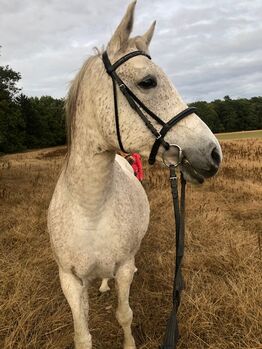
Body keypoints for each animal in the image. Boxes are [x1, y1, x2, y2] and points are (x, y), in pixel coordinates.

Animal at [47, 1, 221, 346]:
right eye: (148, 81)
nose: (213, 152)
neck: (90, 209)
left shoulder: (124, 268)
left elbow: (124, 314)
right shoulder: (69, 281)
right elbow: (82, 335)